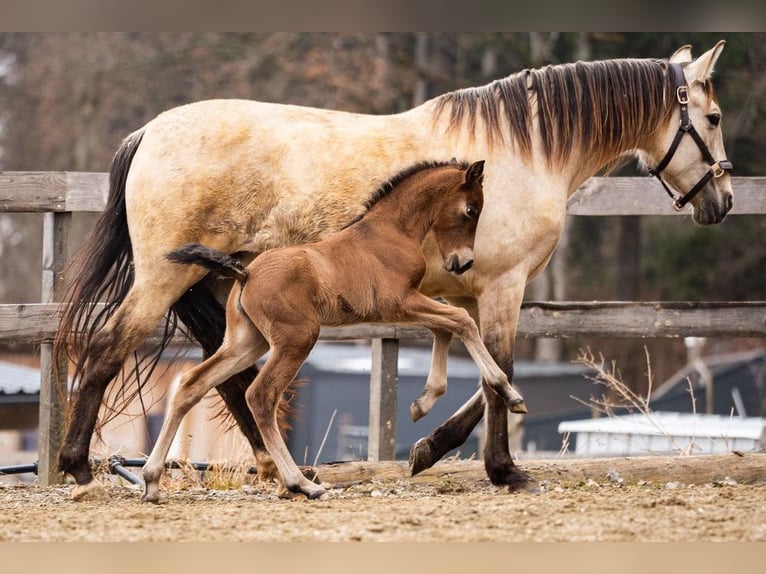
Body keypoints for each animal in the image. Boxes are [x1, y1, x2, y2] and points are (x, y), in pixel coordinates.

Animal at [140, 160, 529, 502]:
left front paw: (423, 402)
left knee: (192, 384)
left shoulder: (405, 306)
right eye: (472, 210)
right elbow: (461, 320)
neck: (391, 231)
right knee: (261, 396)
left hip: (246, 343)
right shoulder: (399, 301)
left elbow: (445, 329)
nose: (462, 263)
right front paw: (509, 394)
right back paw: (302, 484)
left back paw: (152, 481)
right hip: (297, 338)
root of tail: (245, 272)